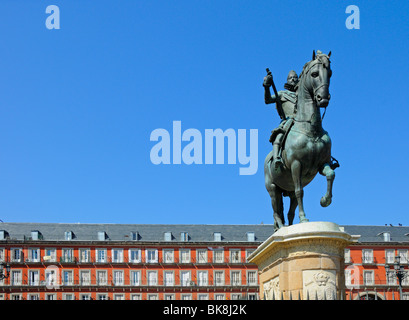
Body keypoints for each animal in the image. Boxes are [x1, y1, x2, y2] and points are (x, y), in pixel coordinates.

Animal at [264, 50, 334, 230]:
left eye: (330, 73)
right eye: (314, 74)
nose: (323, 98)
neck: (311, 129)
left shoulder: (321, 164)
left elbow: (331, 174)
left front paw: (325, 200)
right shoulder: (296, 165)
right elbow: (300, 191)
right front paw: (267, 79)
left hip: (287, 188)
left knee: (289, 211)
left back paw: (290, 225)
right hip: (273, 188)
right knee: (277, 210)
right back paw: (281, 228)